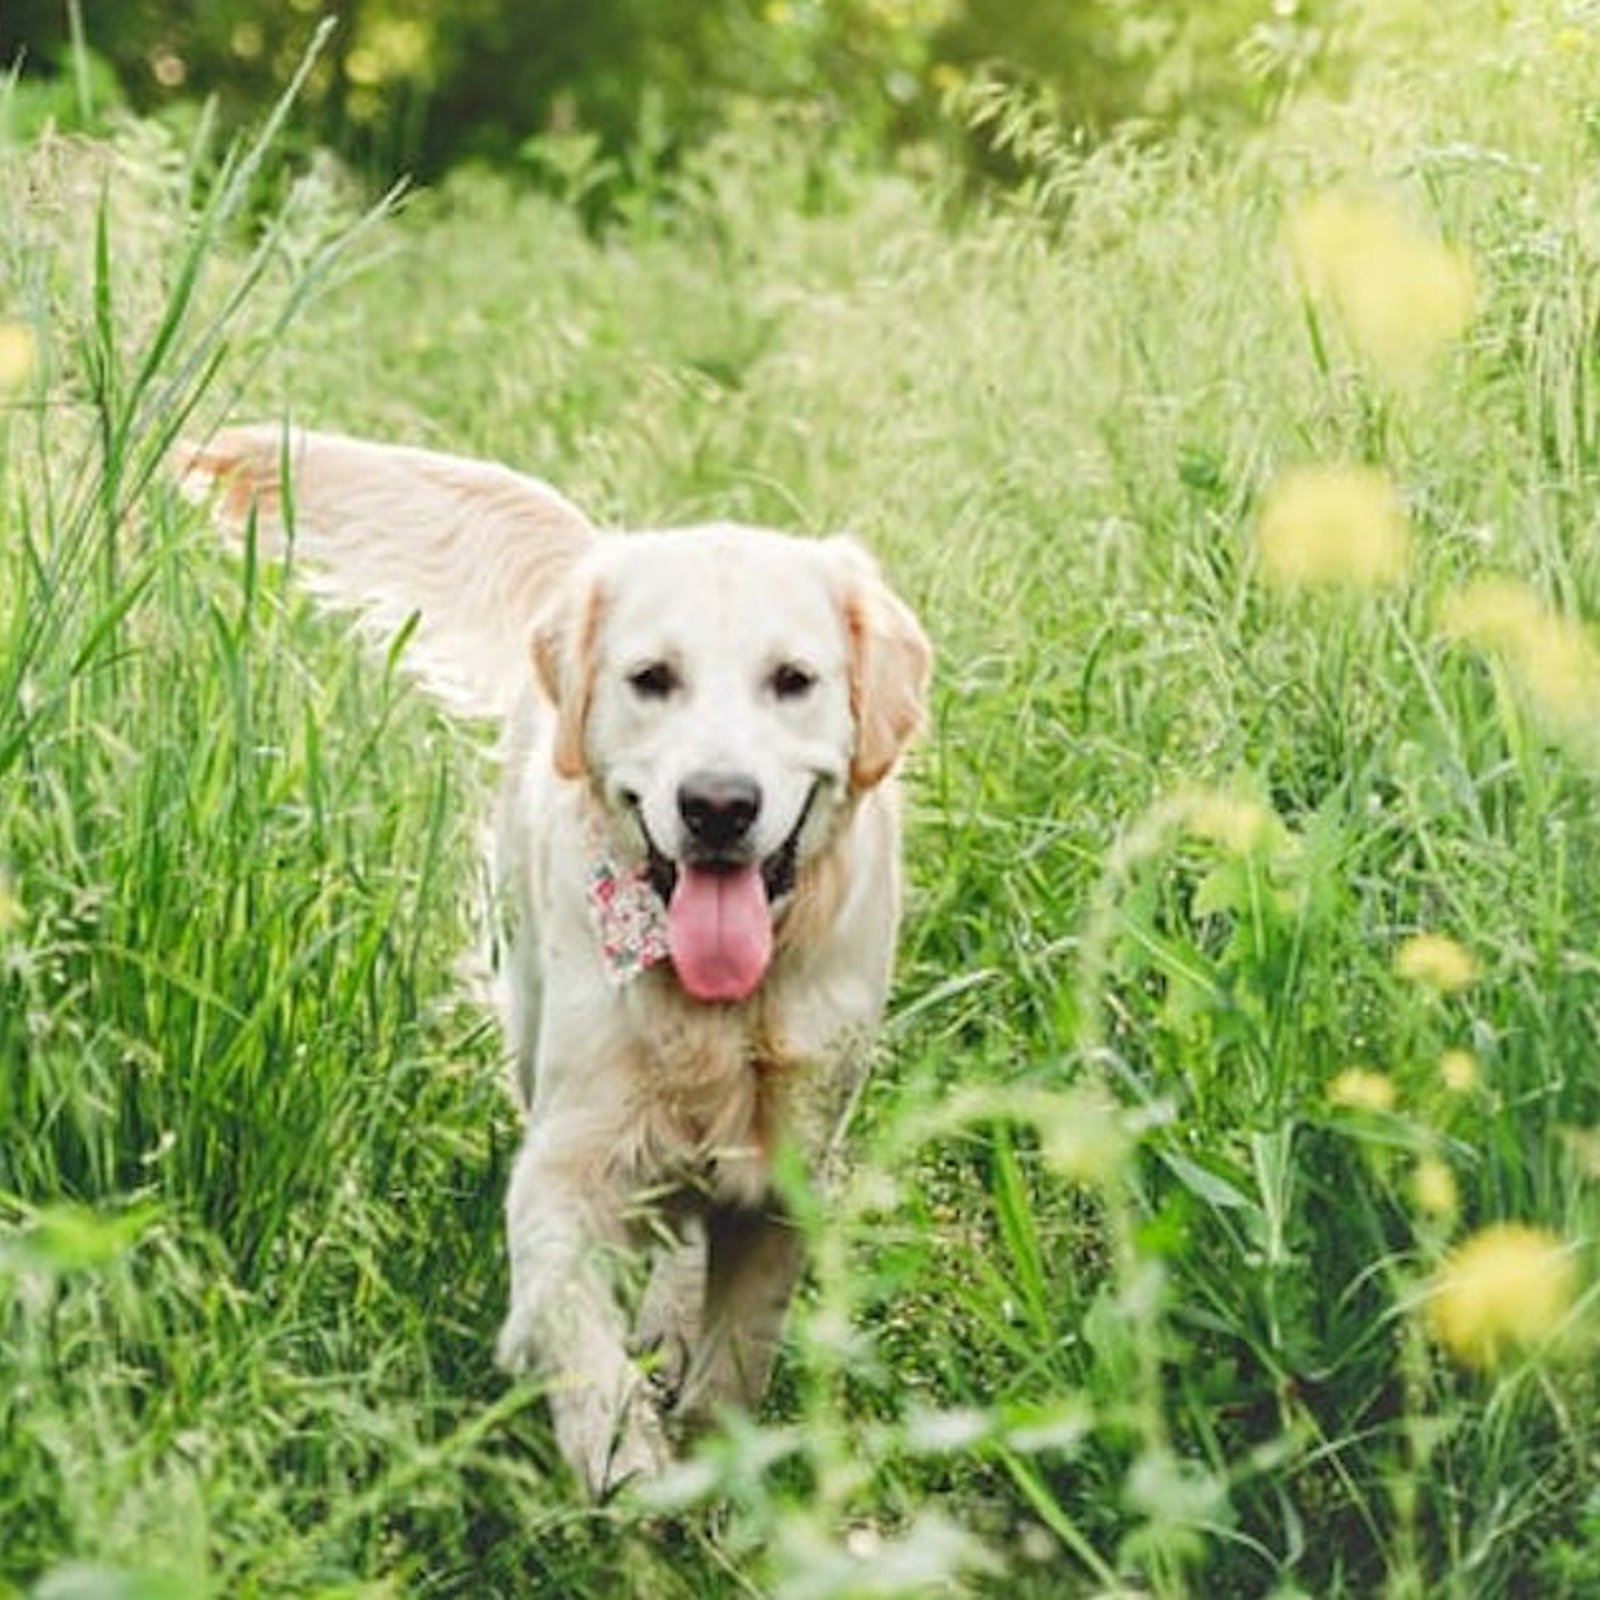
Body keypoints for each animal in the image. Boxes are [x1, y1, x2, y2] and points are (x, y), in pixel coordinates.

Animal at [180, 428, 934, 1497]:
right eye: (652, 678)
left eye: (794, 680)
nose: (717, 805)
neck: (719, 1008)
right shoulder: (567, 1160)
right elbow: (567, 1312)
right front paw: (619, 1455)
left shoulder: (787, 1179)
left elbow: (740, 1351)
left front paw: (712, 1463)